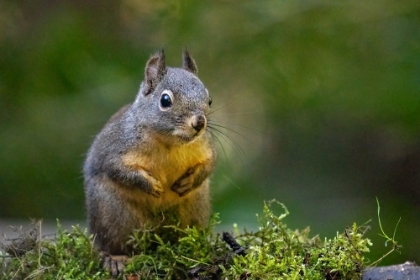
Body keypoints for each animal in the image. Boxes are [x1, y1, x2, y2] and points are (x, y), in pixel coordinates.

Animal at [84, 49, 218, 276]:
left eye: (209, 100)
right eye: (165, 100)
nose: (199, 122)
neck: (169, 143)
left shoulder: (205, 147)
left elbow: (209, 165)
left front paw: (189, 182)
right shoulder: (115, 148)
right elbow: (117, 169)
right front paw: (150, 185)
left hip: (194, 208)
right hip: (112, 214)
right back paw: (115, 259)